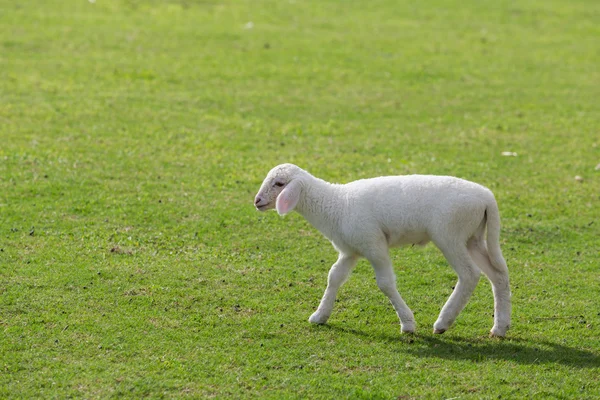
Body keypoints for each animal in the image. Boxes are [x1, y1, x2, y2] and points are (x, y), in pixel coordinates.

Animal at [253, 164, 510, 336]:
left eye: (279, 183)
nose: (257, 201)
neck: (335, 204)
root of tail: (487, 198)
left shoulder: (373, 244)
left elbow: (385, 283)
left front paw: (408, 324)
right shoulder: (350, 250)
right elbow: (334, 276)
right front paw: (320, 315)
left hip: (450, 234)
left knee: (470, 274)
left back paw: (443, 322)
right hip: (473, 237)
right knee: (498, 274)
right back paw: (500, 327)